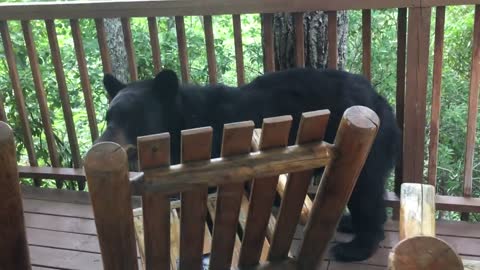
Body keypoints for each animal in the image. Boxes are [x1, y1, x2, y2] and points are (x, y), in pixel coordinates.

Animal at [96, 67, 402, 262]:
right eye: (109, 116)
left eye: (134, 117)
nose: (101, 144)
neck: (183, 124)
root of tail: (379, 98)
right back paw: (349, 223)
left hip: (366, 142)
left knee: (366, 189)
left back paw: (356, 247)